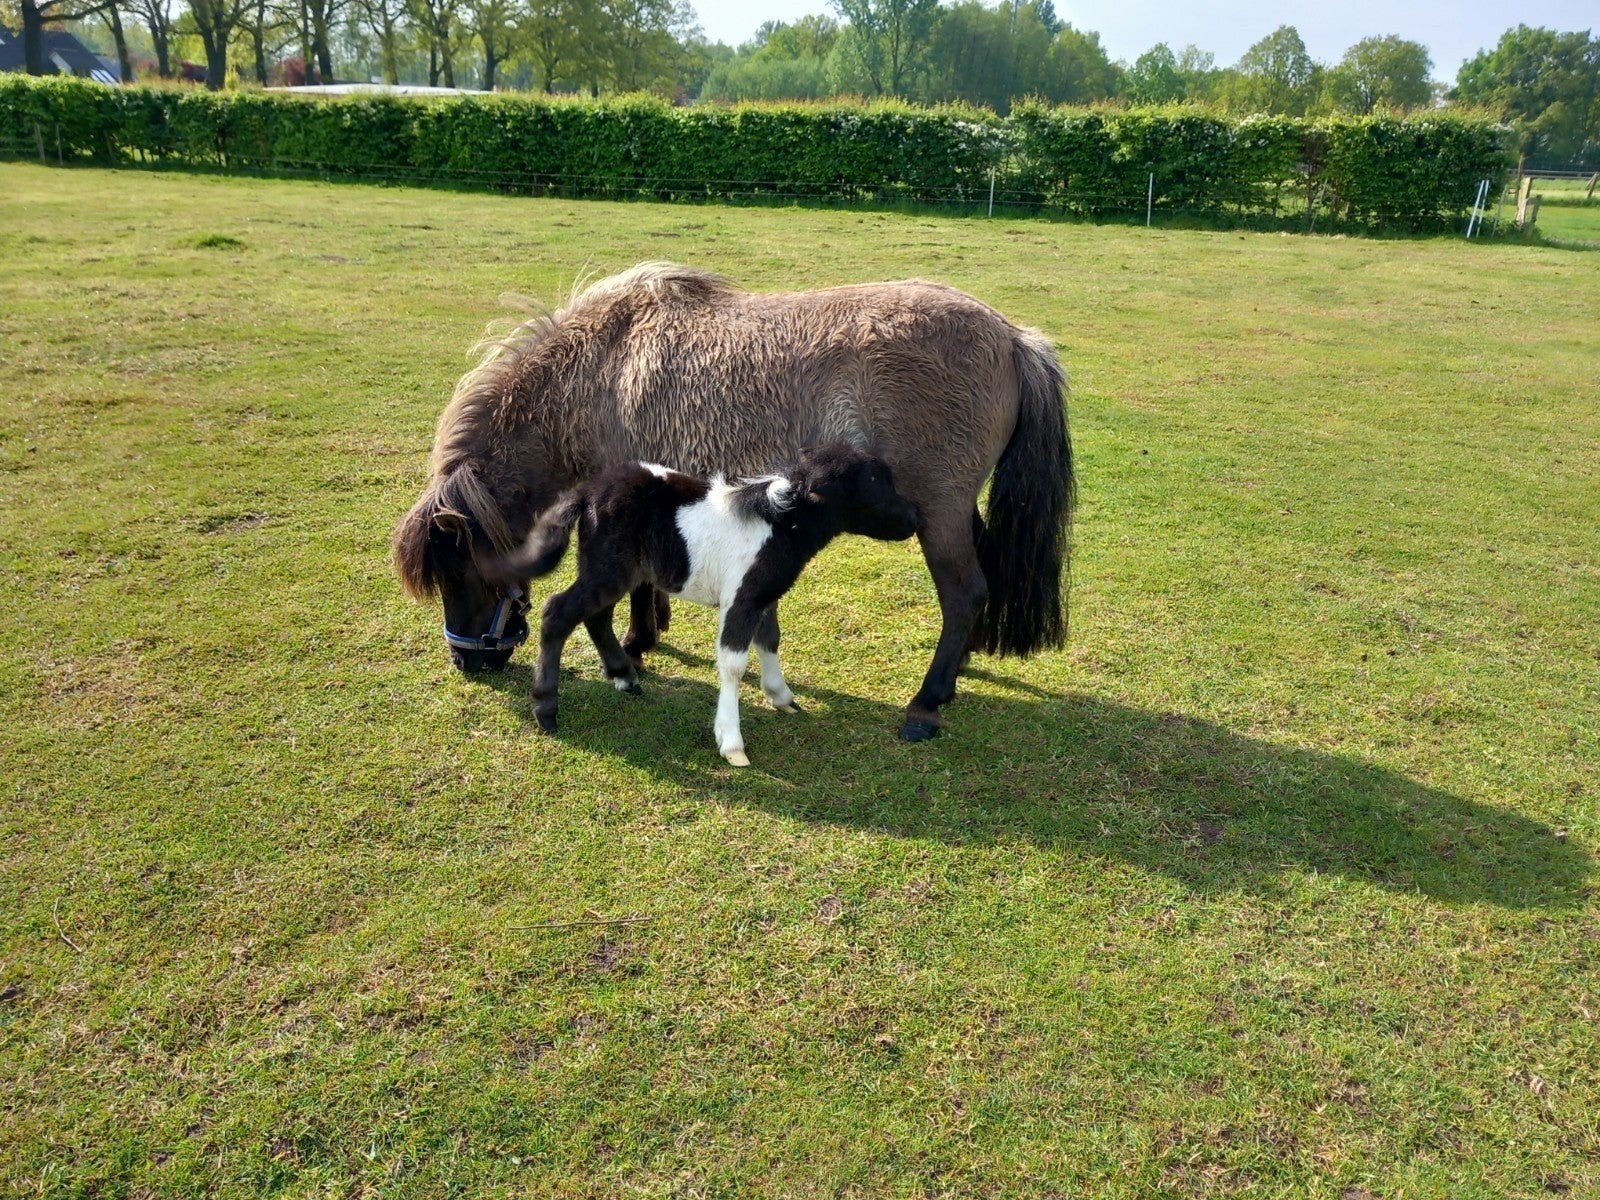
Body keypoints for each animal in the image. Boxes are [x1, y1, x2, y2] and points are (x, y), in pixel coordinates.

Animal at [485, 443, 922, 765]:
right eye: (874, 483)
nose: (915, 518)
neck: (777, 524)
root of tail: (588, 490)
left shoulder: (761, 596)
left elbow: (770, 639)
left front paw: (781, 697)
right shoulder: (740, 600)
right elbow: (733, 663)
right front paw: (732, 743)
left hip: (614, 571)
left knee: (596, 617)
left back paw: (624, 676)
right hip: (608, 569)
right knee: (557, 612)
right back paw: (546, 709)